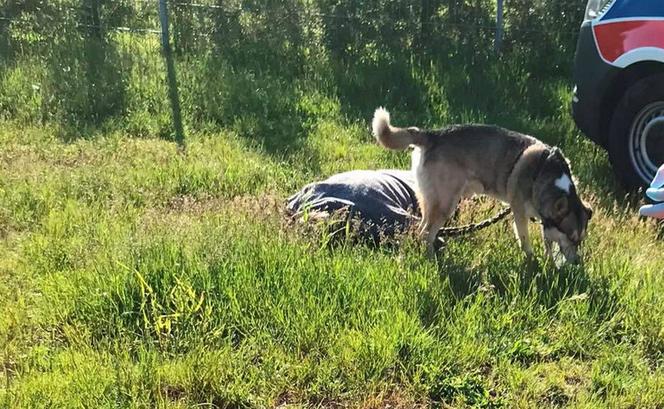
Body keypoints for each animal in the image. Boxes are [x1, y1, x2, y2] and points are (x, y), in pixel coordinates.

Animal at [370, 107, 592, 262]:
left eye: (580, 240)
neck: (546, 172)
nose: (577, 263)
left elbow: (548, 242)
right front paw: (532, 259)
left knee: (420, 229)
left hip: (430, 200)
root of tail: (432, 134)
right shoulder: (519, 211)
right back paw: (431, 260)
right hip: (445, 204)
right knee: (425, 233)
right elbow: (524, 239)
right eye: (571, 237)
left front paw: (549, 260)